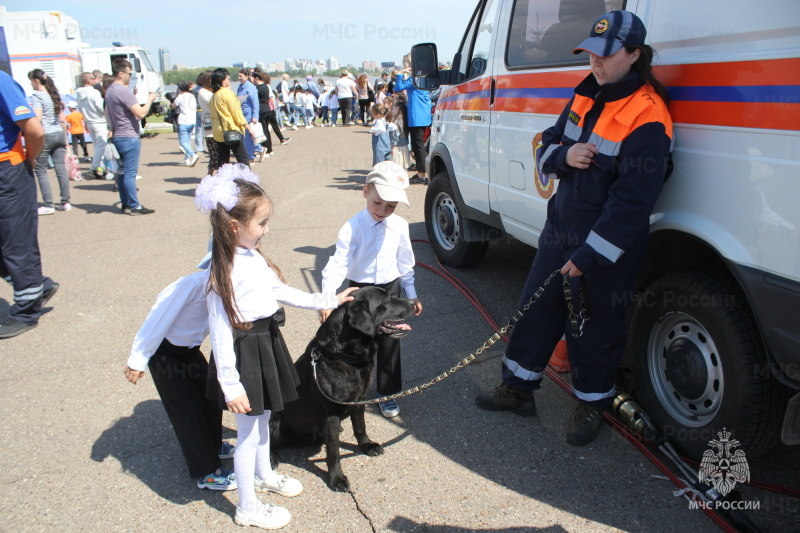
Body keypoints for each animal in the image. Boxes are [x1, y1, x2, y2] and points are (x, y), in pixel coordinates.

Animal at [272, 286, 416, 490]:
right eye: (385, 299)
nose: (413, 302)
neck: (347, 357)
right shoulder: (330, 414)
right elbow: (334, 451)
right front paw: (336, 478)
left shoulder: (360, 400)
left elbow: (360, 426)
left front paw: (366, 446)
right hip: (276, 422)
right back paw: (271, 457)